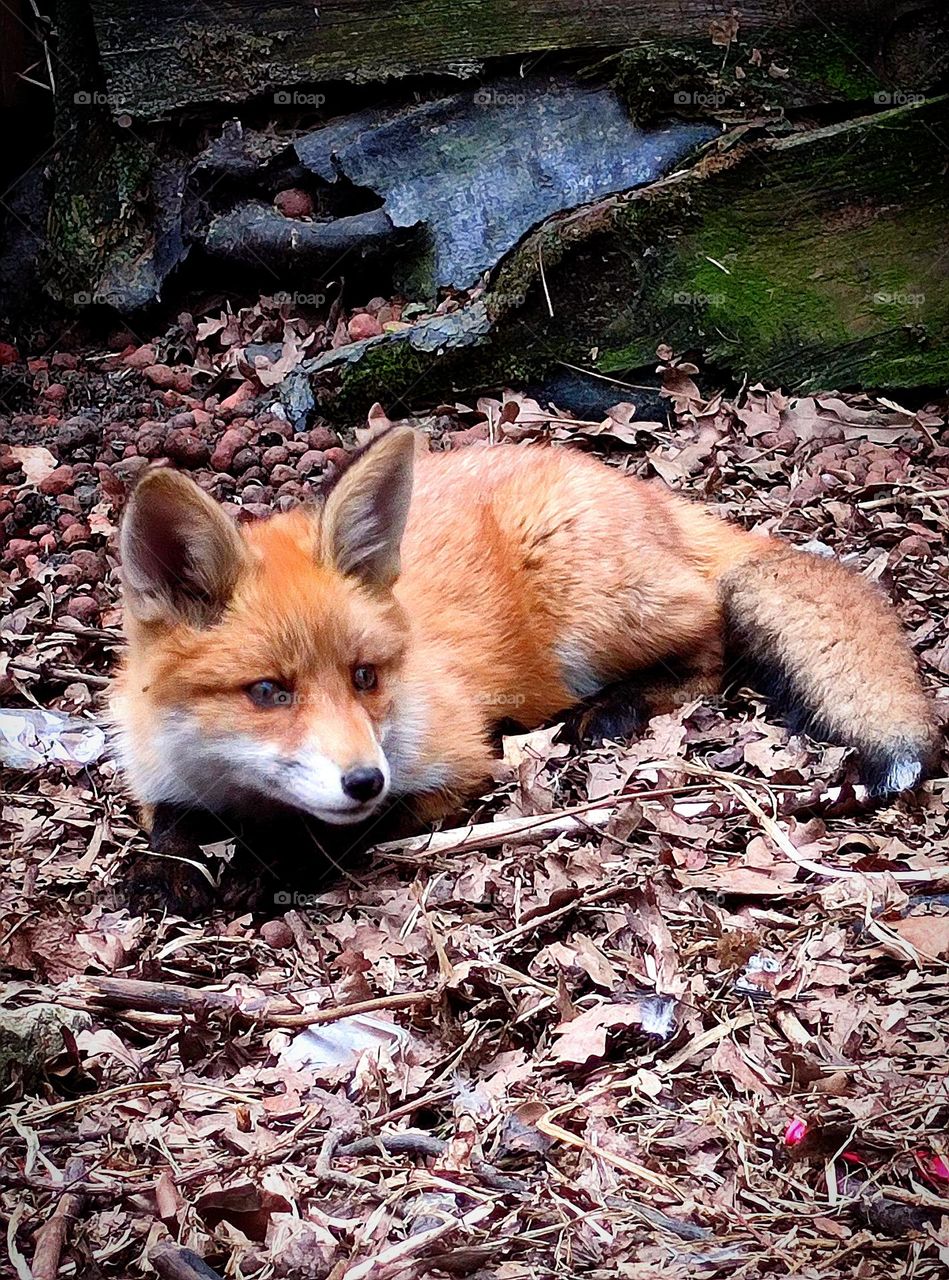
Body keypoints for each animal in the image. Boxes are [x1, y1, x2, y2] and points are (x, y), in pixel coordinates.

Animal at [112, 424, 942, 834]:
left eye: (364, 677)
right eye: (267, 692)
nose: (363, 779)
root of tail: (645, 492)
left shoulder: (456, 761)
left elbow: (349, 830)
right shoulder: (156, 775)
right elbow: (165, 827)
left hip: (589, 608)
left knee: (710, 638)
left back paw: (611, 712)